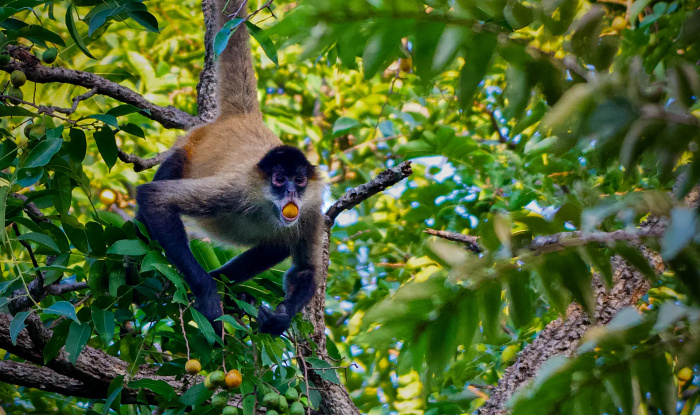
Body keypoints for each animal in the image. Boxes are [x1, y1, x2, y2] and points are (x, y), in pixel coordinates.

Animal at [135, 0, 326, 338]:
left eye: (300, 180)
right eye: (279, 180)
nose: (291, 191)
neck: (267, 208)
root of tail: (242, 119)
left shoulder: (312, 210)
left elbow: (306, 270)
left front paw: (279, 319)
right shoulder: (236, 189)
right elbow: (153, 198)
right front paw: (208, 293)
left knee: (277, 245)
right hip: (188, 149)